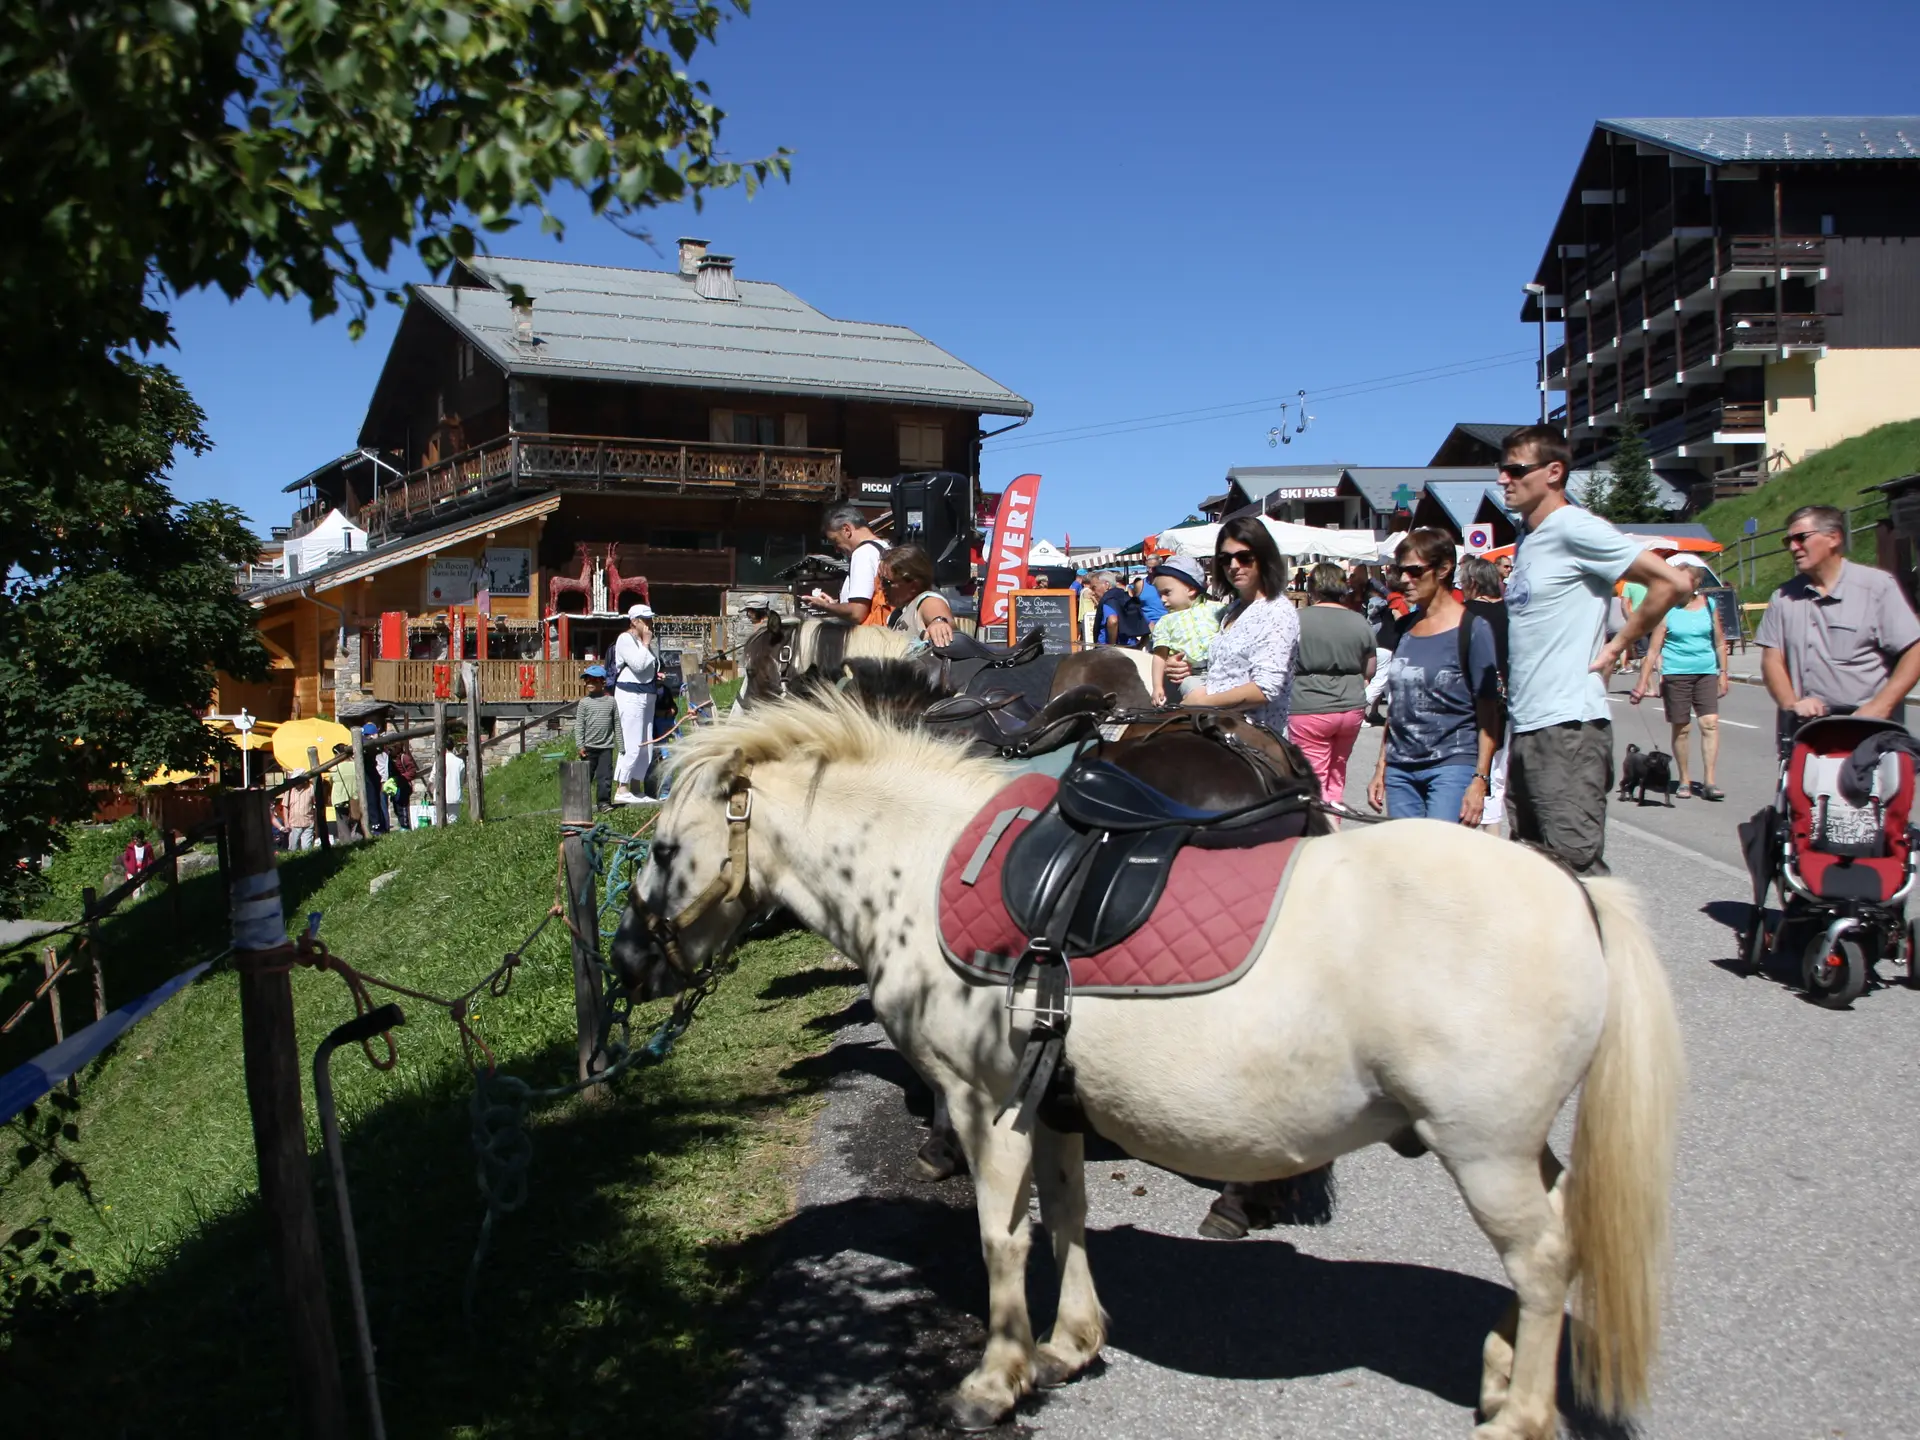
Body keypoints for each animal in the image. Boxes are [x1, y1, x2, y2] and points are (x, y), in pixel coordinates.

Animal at [610, 695, 1681, 1436]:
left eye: (660, 851)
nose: (623, 965)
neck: (920, 863)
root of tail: (1575, 892)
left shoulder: (982, 1104)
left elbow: (1001, 1239)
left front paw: (995, 1380)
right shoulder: (1053, 1108)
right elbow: (1065, 1219)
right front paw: (1068, 1345)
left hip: (1484, 1151)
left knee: (1544, 1259)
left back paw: (1520, 1414)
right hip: (1517, 1150)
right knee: (1558, 1239)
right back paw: (1501, 1367)